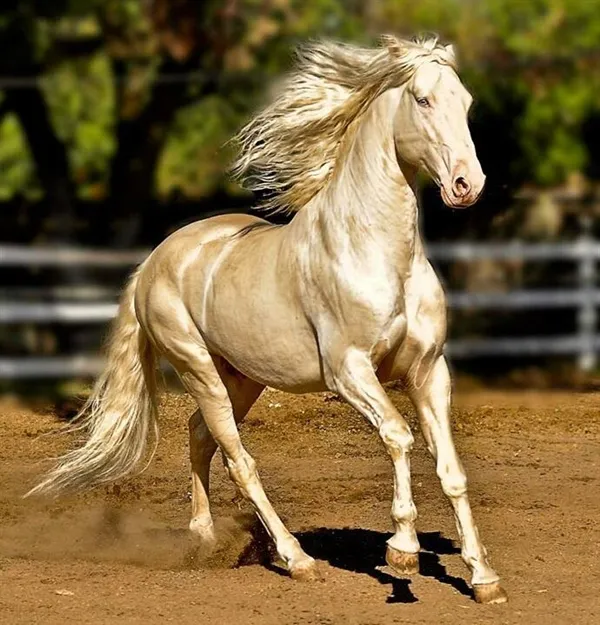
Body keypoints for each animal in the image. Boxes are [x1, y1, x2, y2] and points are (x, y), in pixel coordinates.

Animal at [27, 35, 506, 604]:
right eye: (423, 99)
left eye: (467, 102)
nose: (467, 184)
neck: (378, 254)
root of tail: (154, 261)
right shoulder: (349, 372)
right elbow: (398, 437)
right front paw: (402, 551)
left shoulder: (428, 371)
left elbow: (451, 469)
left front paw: (483, 578)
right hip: (198, 369)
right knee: (239, 460)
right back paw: (297, 559)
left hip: (242, 378)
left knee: (199, 436)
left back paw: (205, 541)